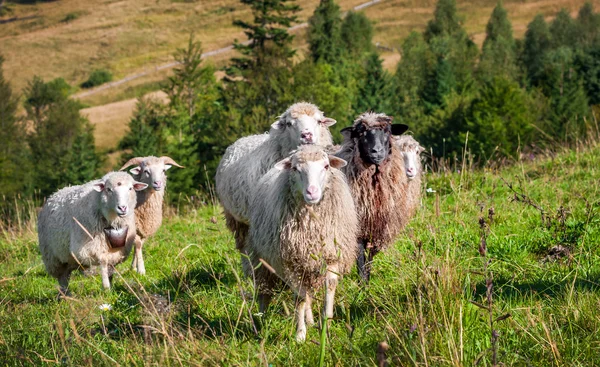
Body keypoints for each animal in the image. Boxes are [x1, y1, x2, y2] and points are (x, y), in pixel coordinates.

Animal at [244, 145, 356, 344]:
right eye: (295, 168)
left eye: (326, 166)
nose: (312, 192)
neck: (312, 225)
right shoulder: (290, 263)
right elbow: (299, 299)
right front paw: (300, 334)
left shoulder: (332, 254)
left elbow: (329, 287)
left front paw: (326, 324)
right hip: (261, 259)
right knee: (265, 292)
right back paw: (261, 323)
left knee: (308, 294)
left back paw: (310, 320)